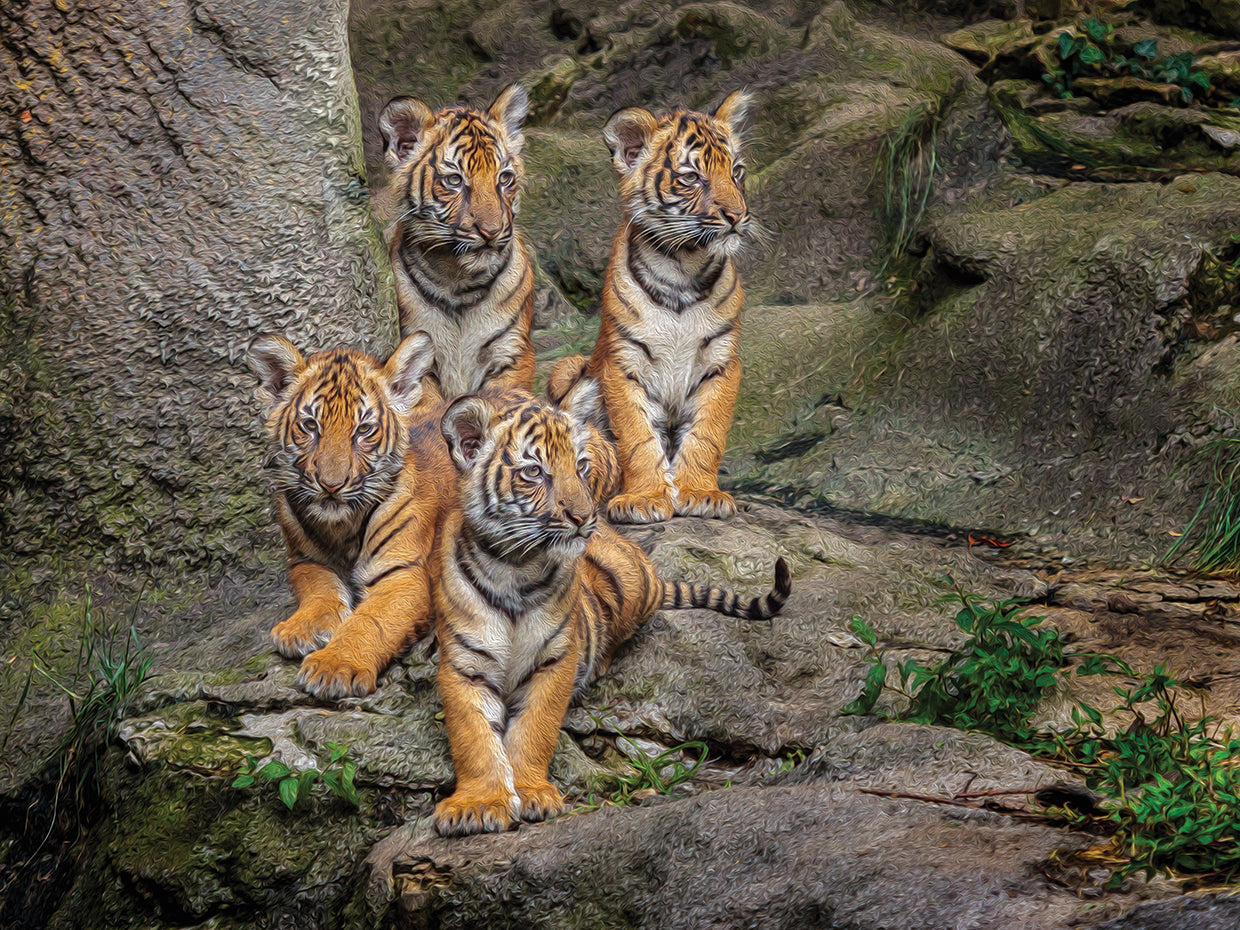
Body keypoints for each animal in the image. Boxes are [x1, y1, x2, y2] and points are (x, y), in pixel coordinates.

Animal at [246, 332, 451, 699]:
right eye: (310, 425)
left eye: (364, 429)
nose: (331, 485)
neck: (341, 525)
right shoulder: (305, 561)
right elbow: (320, 590)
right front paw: (302, 629)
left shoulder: (403, 574)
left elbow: (370, 621)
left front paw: (333, 666)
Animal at [379, 83, 536, 399]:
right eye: (454, 180)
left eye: (505, 178)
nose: (492, 231)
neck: (459, 282)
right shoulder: (418, 354)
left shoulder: (512, 354)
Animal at [432, 390, 791, 836]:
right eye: (533, 471)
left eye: (581, 466)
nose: (584, 517)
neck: (513, 568)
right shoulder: (462, 664)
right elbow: (473, 738)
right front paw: (477, 805)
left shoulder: (556, 659)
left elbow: (534, 730)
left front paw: (532, 793)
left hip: (628, 585)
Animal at [548, 90, 755, 525]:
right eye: (692, 177)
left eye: (737, 172)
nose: (737, 216)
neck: (682, 267)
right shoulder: (623, 363)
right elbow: (637, 437)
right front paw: (643, 498)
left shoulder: (721, 362)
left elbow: (707, 432)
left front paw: (700, 492)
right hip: (568, 369)